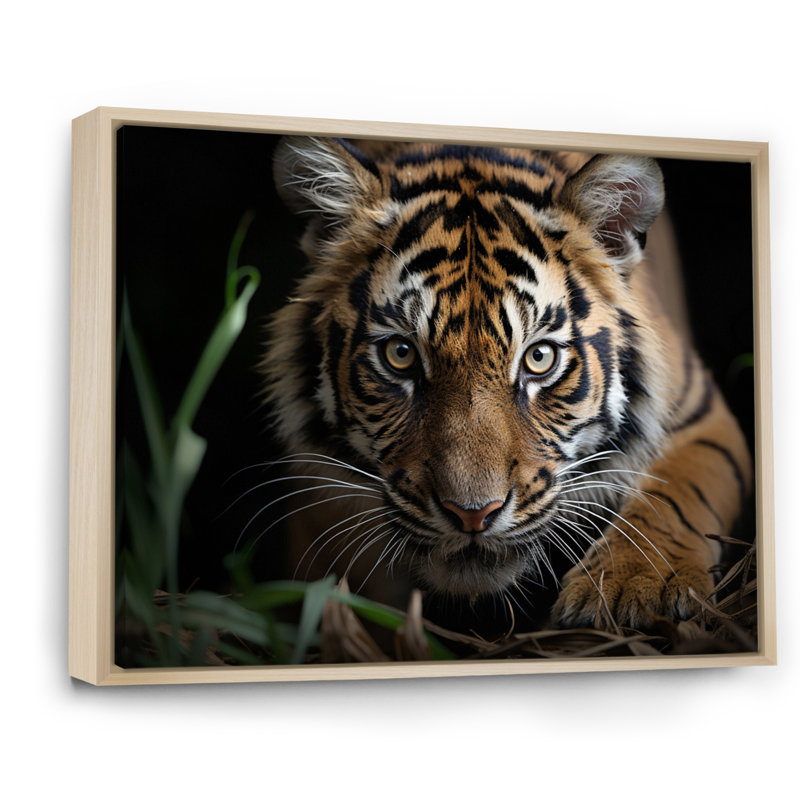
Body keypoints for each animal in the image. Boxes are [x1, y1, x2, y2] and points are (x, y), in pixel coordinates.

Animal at [260, 135, 752, 633]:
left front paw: (636, 586)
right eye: (400, 355)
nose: (472, 514)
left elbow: (673, 495)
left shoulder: (699, 414)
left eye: (539, 358)